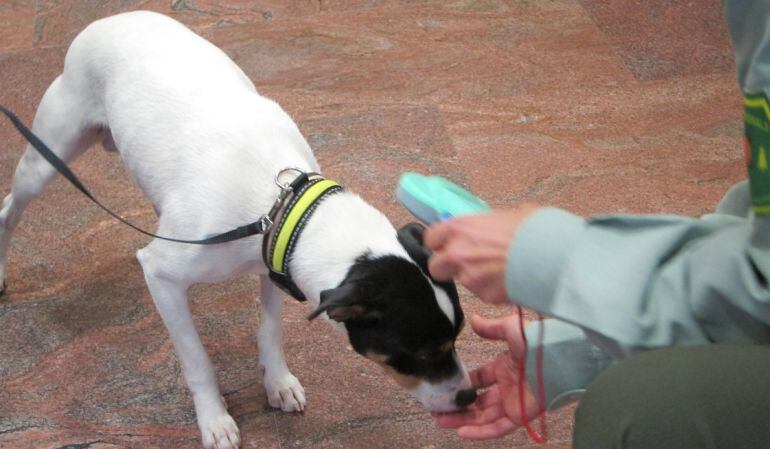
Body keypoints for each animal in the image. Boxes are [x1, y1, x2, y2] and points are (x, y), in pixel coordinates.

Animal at [0, 10, 474, 448]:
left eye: (456, 339)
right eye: (418, 354)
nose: (469, 396)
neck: (279, 202)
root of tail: (112, 16)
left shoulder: (276, 256)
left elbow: (271, 330)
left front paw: (277, 381)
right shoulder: (162, 275)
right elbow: (196, 360)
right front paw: (214, 418)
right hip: (49, 155)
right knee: (10, 206)